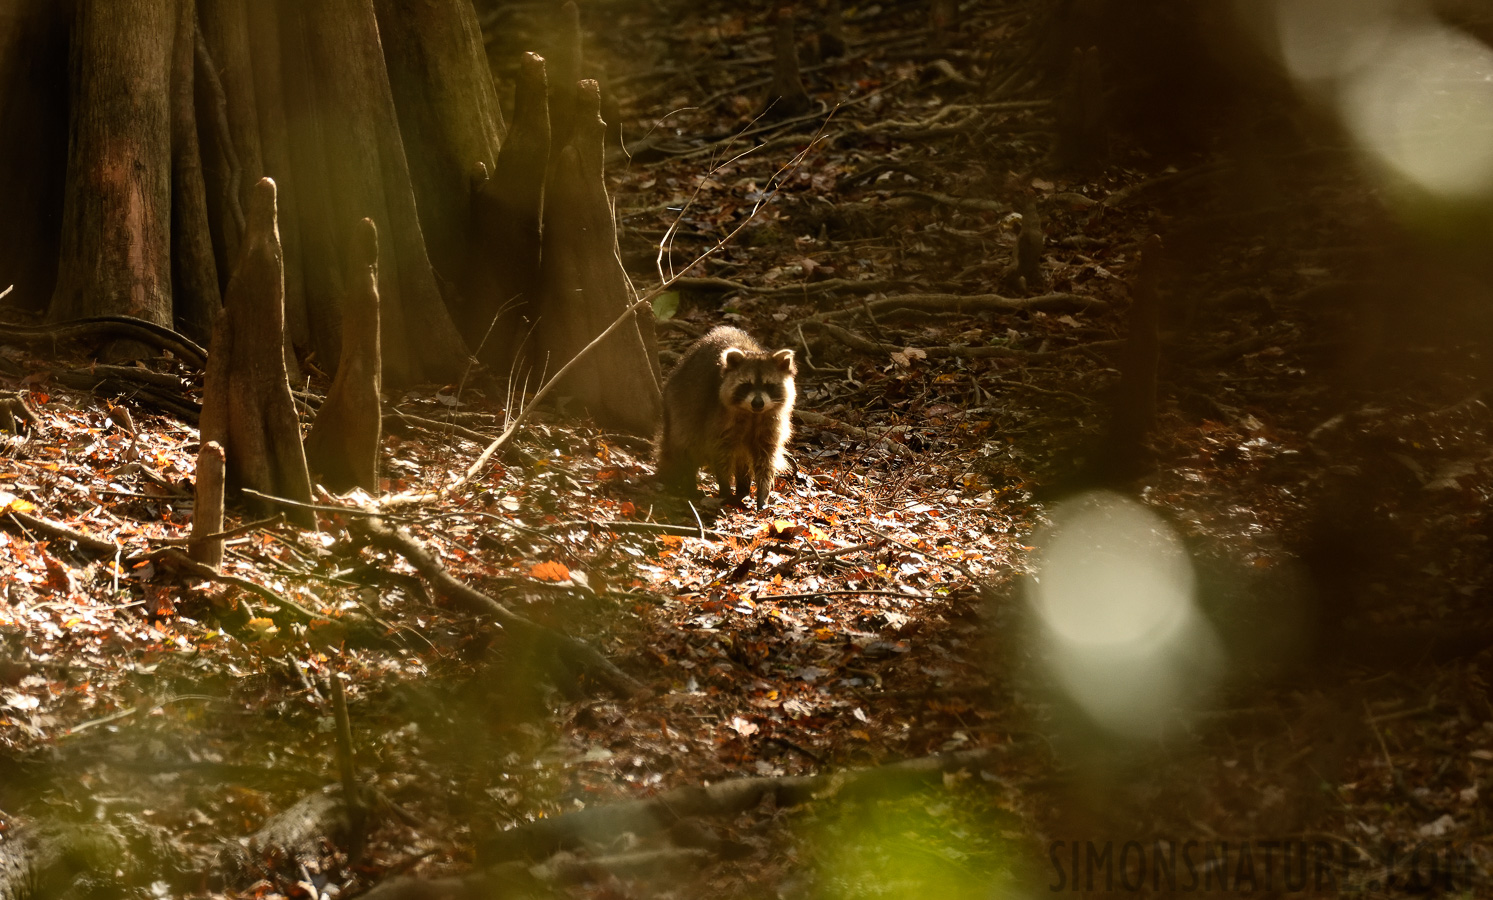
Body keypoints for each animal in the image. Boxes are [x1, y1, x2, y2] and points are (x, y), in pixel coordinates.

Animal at [656, 323, 794, 510]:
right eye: (746, 385)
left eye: (769, 385)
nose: (758, 403)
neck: (752, 414)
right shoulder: (720, 418)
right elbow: (721, 452)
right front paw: (725, 487)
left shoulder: (771, 423)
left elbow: (766, 458)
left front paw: (763, 492)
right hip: (682, 405)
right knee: (686, 443)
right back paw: (690, 482)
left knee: (743, 458)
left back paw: (743, 488)